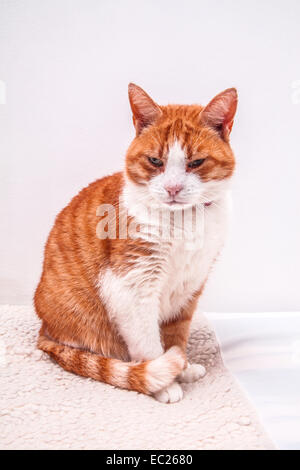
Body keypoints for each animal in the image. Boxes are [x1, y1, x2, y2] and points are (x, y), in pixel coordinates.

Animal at [34, 82, 237, 402]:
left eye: (195, 163)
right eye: (155, 161)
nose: (173, 188)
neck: (183, 222)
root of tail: (44, 328)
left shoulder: (189, 287)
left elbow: (175, 337)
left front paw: (182, 368)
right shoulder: (132, 286)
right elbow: (149, 344)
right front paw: (163, 383)